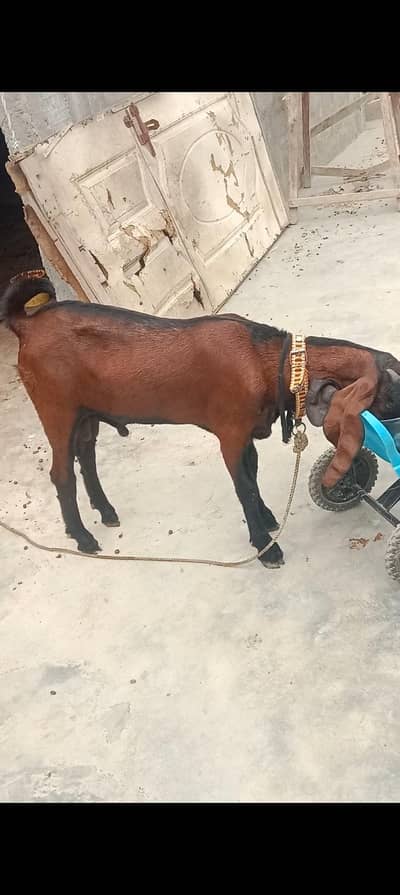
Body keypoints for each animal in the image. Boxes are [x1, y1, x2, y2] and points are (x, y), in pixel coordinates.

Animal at [2, 269, 400, 567]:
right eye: (393, 387)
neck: (266, 360)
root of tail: (26, 325)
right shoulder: (230, 434)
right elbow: (243, 487)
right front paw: (266, 546)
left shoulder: (246, 434)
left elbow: (252, 477)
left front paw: (269, 519)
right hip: (57, 409)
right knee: (61, 473)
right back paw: (83, 537)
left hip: (87, 412)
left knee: (86, 456)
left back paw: (106, 510)